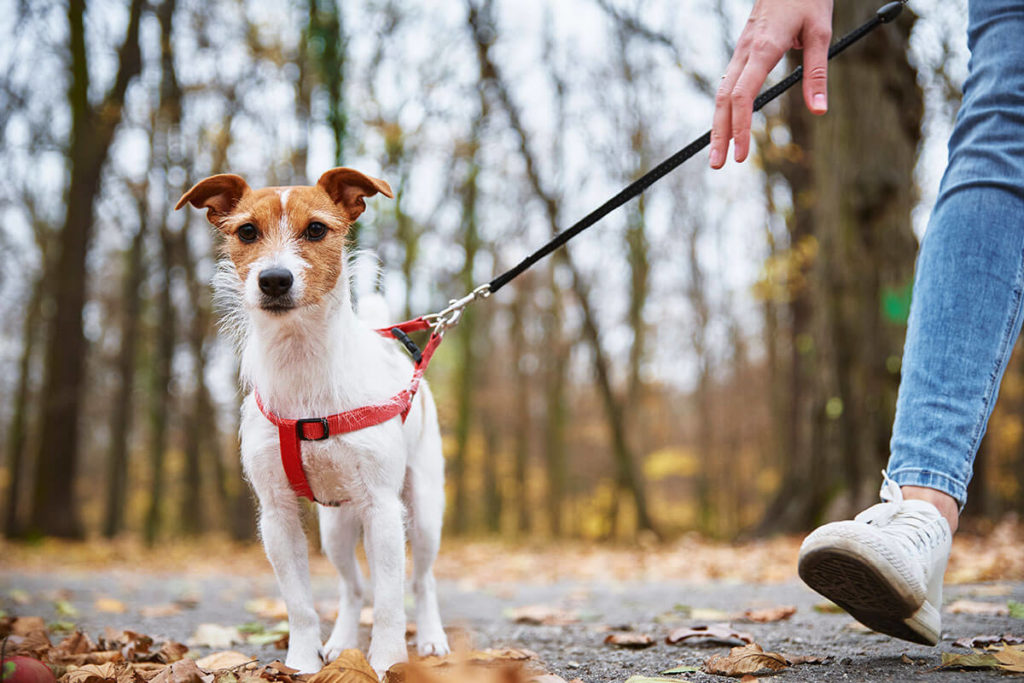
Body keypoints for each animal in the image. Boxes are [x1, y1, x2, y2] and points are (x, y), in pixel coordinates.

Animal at [175, 167, 448, 675]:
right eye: (247, 232)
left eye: (317, 229)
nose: (274, 280)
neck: (303, 365)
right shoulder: (277, 514)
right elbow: (300, 602)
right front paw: (301, 662)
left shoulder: (384, 510)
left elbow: (389, 601)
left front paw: (386, 662)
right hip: (335, 528)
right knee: (352, 586)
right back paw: (341, 643)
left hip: (423, 511)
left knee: (421, 581)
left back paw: (432, 638)